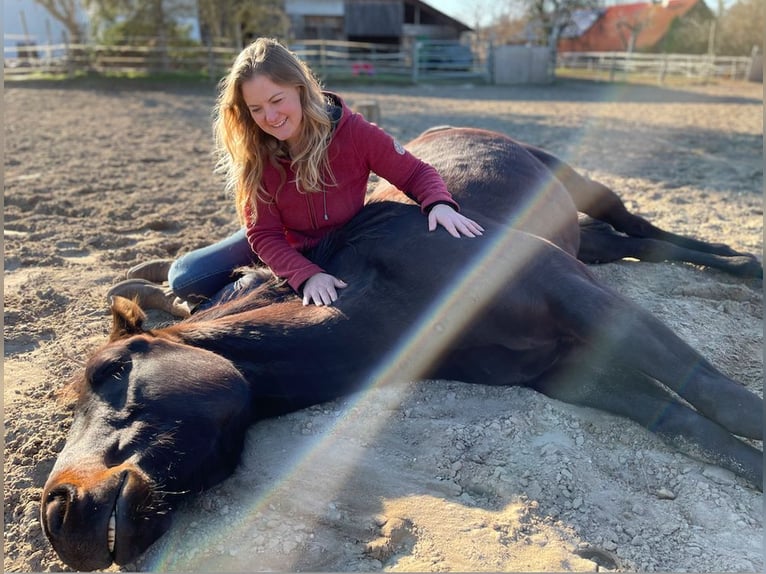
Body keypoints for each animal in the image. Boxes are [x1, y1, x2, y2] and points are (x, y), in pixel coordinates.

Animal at [41, 127, 763, 571]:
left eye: (112, 370)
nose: (59, 512)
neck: (392, 291)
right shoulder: (565, 371)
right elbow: (689, 424)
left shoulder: (581, 297)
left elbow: (717, 396)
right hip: (588, 246)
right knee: (636, 245)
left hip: (587, 190)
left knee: (641, 227)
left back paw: (744, 264)